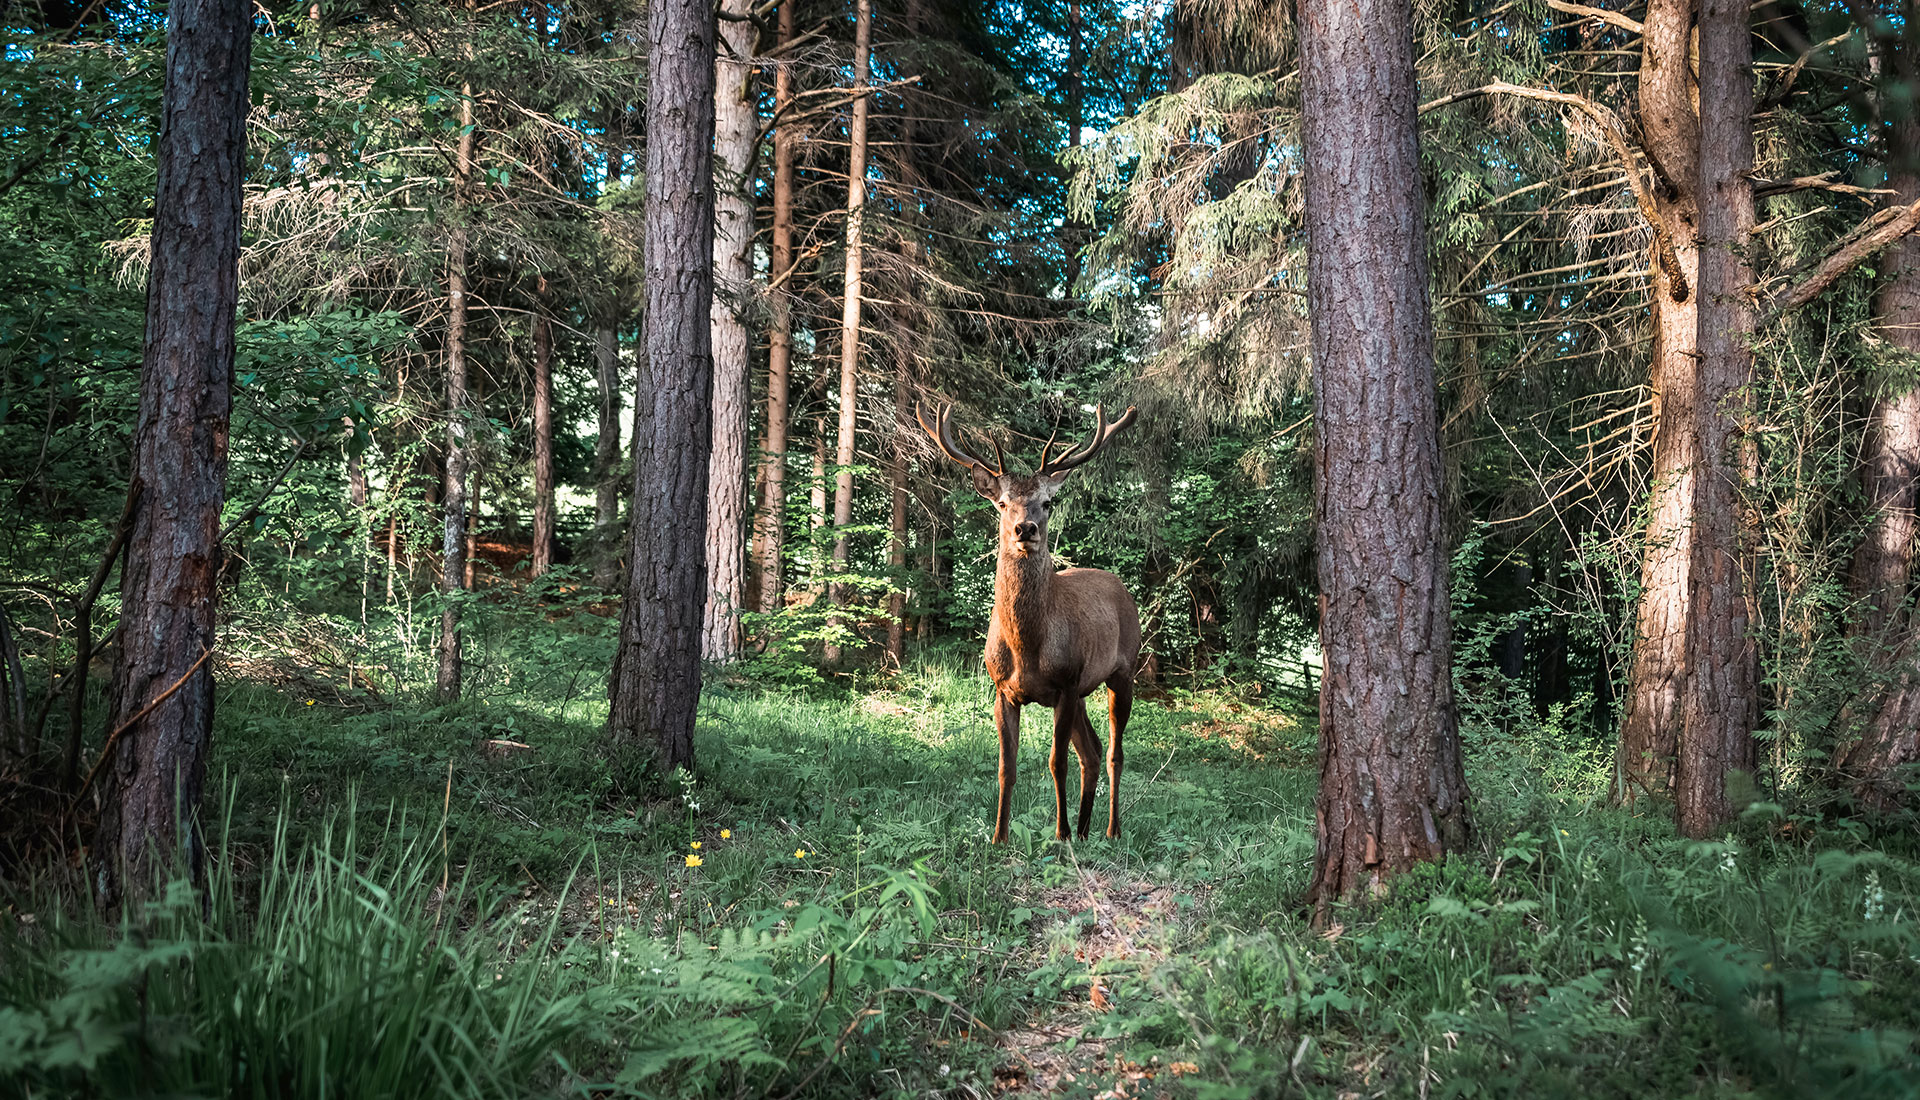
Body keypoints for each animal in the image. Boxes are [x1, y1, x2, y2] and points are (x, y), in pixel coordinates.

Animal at [913, 403, 1136, 840]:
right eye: (1001, 503)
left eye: (1047, 502)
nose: (1025, 528)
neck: (1027, 646)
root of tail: (1120, 584)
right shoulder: (1003, 689)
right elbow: (1006, 767)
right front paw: (998, 836)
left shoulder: (1066, 682)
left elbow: (1056, 762)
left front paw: (1060, 835)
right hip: (1084, 691)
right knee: (1092, 751)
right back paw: (1085, 830)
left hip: (1124, 670)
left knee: (1114, 753)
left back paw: (1110, 830)